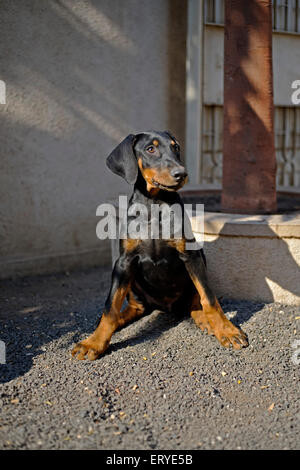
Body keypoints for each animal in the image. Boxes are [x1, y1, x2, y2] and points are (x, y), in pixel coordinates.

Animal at [72, 131, 248, 360]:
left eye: (176, 147)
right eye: (150, 149)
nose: (181, 173)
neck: (154, 205)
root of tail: (165, 307)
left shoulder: (190, 255)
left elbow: (208, 298)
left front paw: (227, 330)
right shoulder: (124, 261)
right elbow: (110, 307)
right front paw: (93, 343)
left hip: (198, 259)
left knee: (195, 301)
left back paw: (204, 320)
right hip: (130, 280)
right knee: (135, 307)